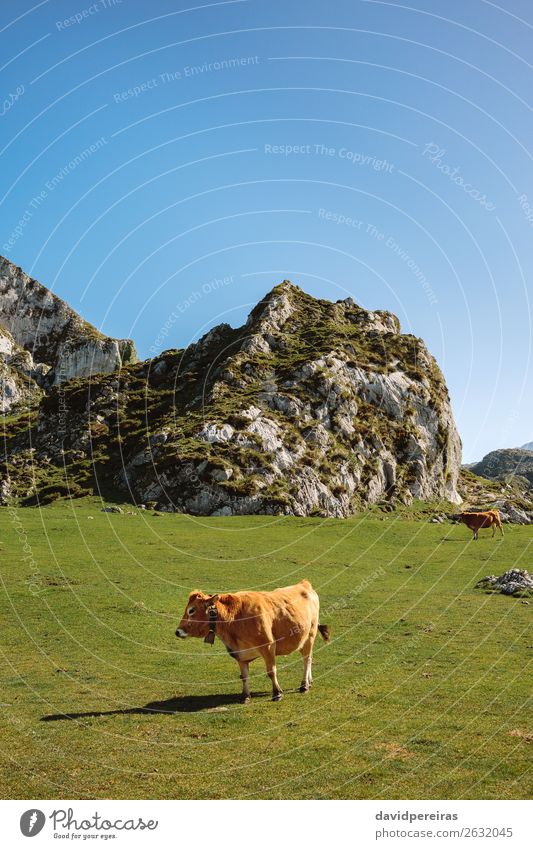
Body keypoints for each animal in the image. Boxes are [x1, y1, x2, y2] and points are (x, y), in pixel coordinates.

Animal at [175, 576, 328, 704]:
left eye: (191, 610)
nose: (177, 631)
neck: (236, 618)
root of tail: (304, 584)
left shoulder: (268, 647)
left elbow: (271, 671)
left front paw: (277, 693)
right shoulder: (239, 654)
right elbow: (244, 676)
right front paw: (245, 696)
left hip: (310, 635)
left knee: (307, 659)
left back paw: (304, 685)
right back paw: (309, 681)